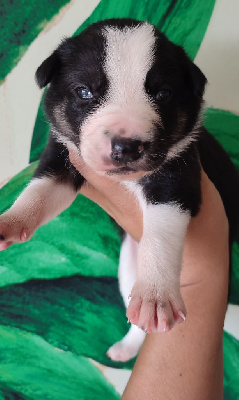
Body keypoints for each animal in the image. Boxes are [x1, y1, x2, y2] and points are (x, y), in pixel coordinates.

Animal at [0, 18, 239, 362]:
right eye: (84, 91)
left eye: (163, 94)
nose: (126, 147)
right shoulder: (62, 160)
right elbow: (39, 192)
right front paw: (11, 220)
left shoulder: (176, 183)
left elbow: (160, 237)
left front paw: (155, 296)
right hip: (126, 267)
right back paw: (126, 347)